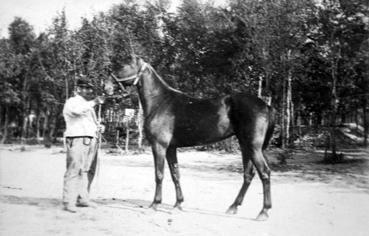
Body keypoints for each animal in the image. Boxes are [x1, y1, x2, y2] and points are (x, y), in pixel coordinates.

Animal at [103, 56, 274, 220]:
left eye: (122, 66)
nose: (106, 87)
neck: (160, 102)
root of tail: (265, 105)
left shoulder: (159, 146)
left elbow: (159, 174)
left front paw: (155, 203)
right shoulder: (171, 148)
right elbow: (175, 174)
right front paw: (178, 203)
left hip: (253, 147)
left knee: (264, 173)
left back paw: (263, 212)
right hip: (245, 145)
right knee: (248, 174)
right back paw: (233, 207)